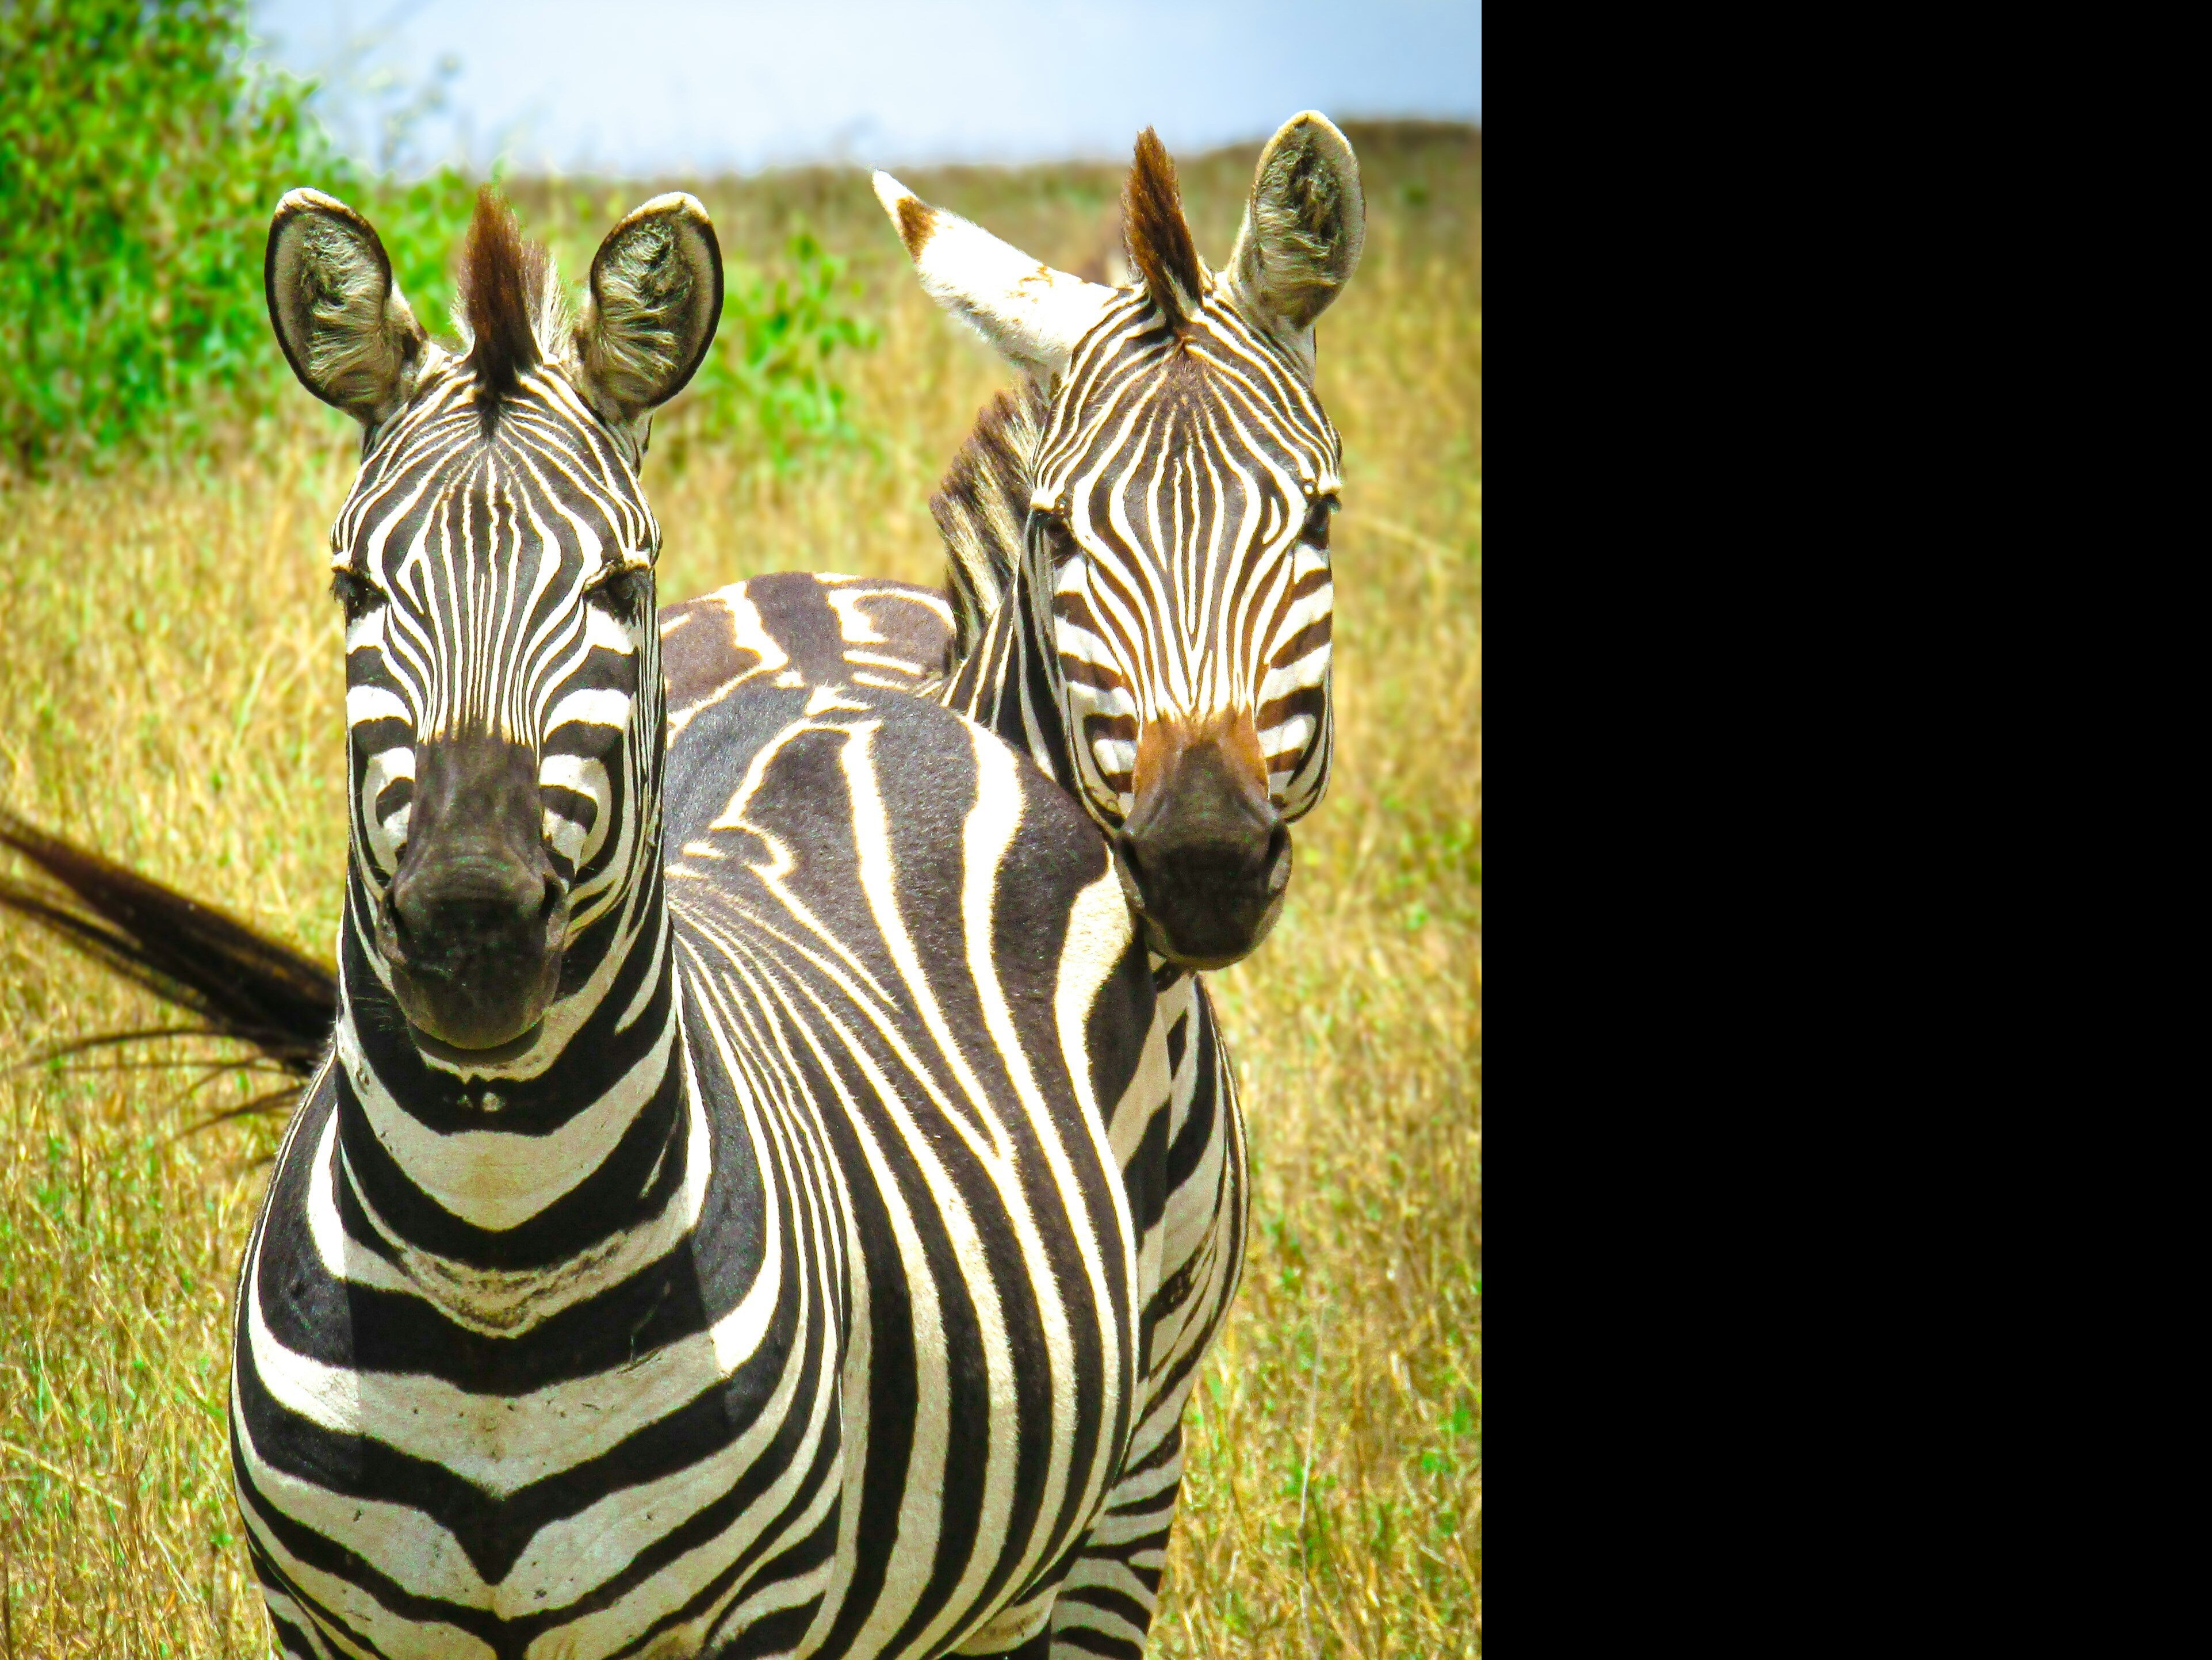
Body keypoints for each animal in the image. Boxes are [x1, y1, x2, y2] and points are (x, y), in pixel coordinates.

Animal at [230, 184, 1186, 1657]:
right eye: (356, 591)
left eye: (619, 587)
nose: (468, 930)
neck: (489, 1243)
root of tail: (895, 700)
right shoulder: (318, 1621)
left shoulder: (765, 1608)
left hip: (1129, 1474)